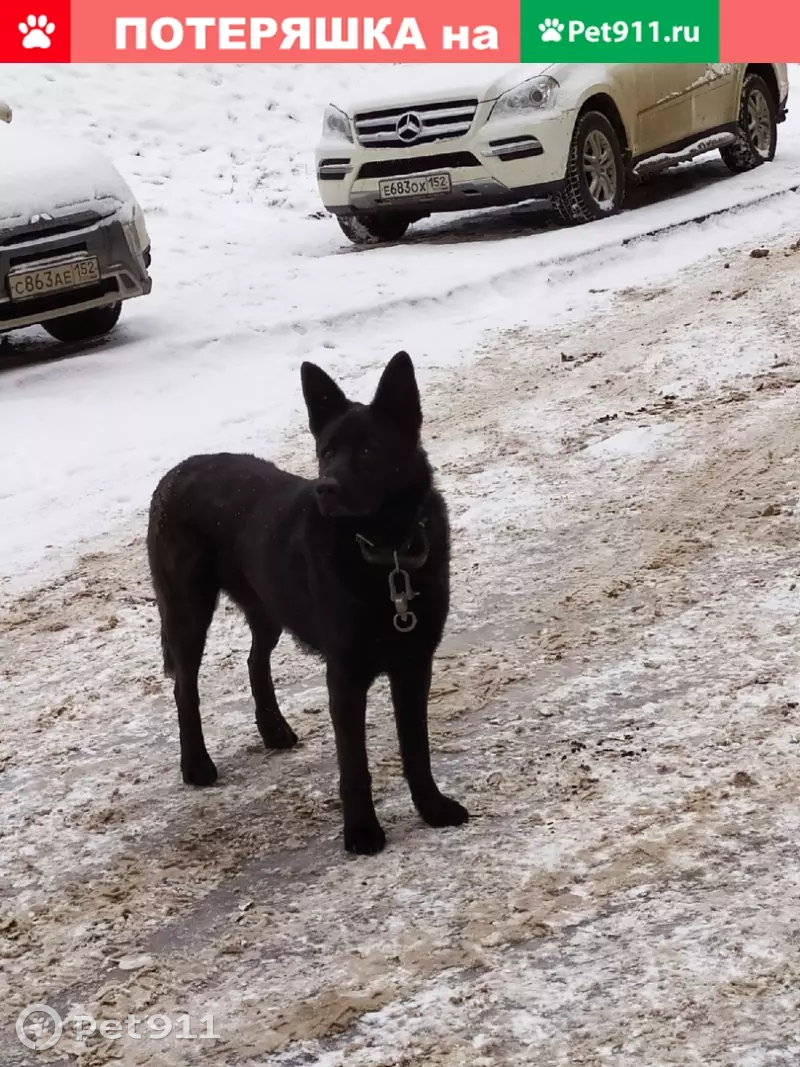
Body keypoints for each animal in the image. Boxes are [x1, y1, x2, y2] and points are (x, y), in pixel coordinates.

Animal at [149, 354, 469, 853]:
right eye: (326, 453)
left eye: (368, 451)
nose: (325, 489)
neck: (385, 553)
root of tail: (173, 473)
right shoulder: (345, 676)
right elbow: (354, 763)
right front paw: (362, 832)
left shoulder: (414, 664)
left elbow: (416, 747)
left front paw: (431, 809)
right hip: (188, 611)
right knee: (186, 686)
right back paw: (196, 764)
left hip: (267, 607)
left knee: (254, 660)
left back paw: (273, 729)